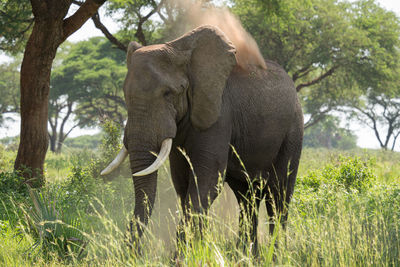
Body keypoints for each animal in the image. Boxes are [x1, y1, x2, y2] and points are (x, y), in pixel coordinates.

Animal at [102, 25, 304, 253]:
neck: (181, 49)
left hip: (293, 129)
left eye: (168, 93)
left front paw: (182, 256)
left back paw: (276, 253)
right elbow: (183, 184)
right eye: (125, 95)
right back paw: (246, 254)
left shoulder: (219, 113)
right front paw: (197, 250)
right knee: (246, 196)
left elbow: (206, 180)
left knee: (278, 193)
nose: (134, 254)